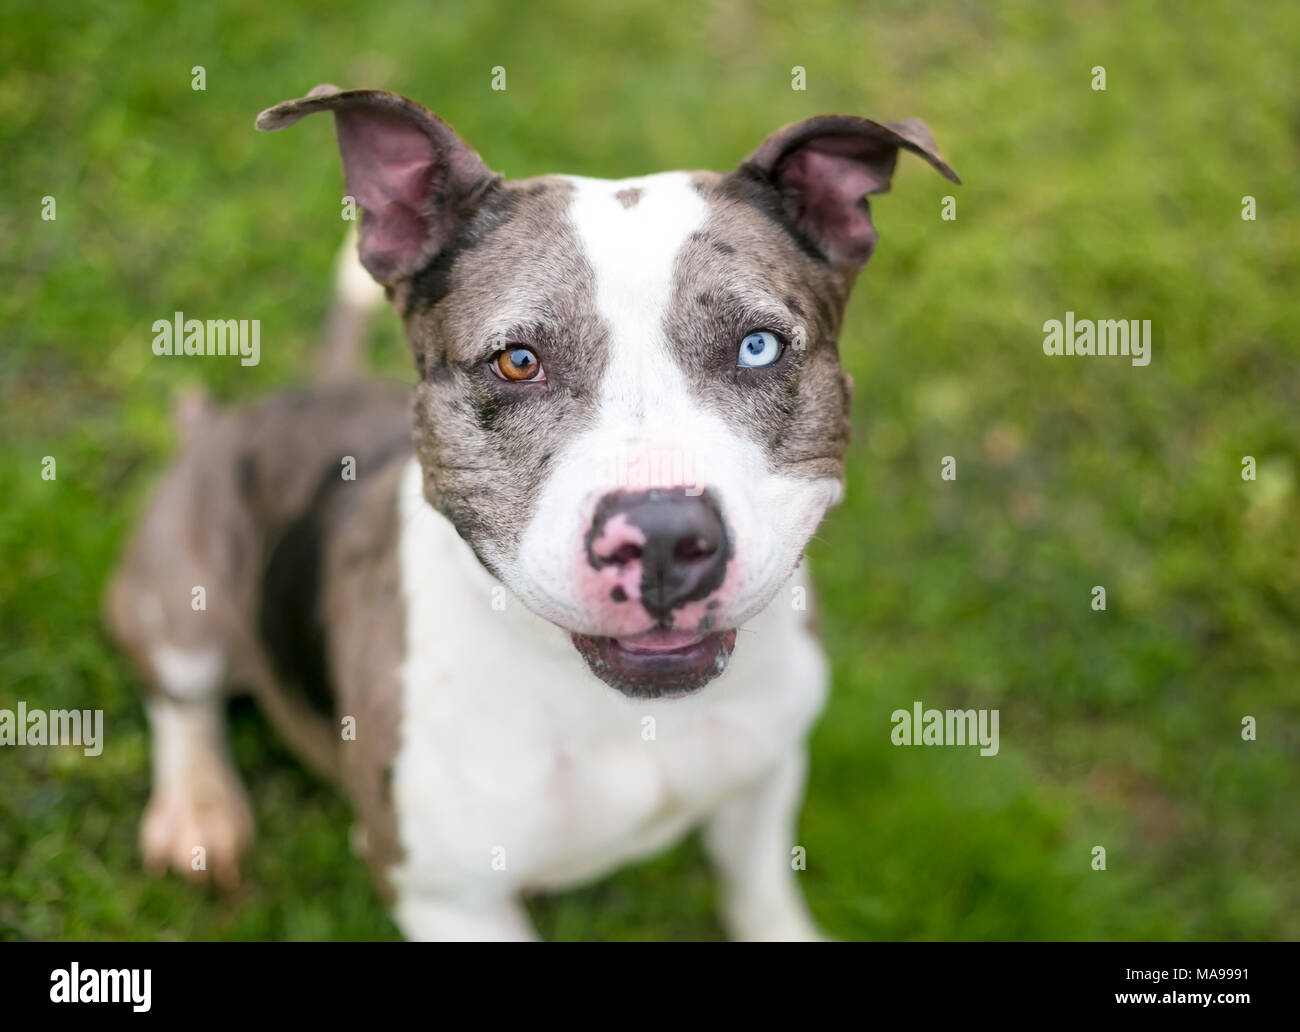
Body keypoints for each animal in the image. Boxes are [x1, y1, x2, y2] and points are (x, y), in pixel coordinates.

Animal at [106, 84, 961, 935]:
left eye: (758, 347)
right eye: (517, 362)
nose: (662, 538)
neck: (620, 712)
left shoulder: (766, 779)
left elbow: (759, 891)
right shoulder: (447, 898)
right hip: (180, 586)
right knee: (180, 697)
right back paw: (199, 810)